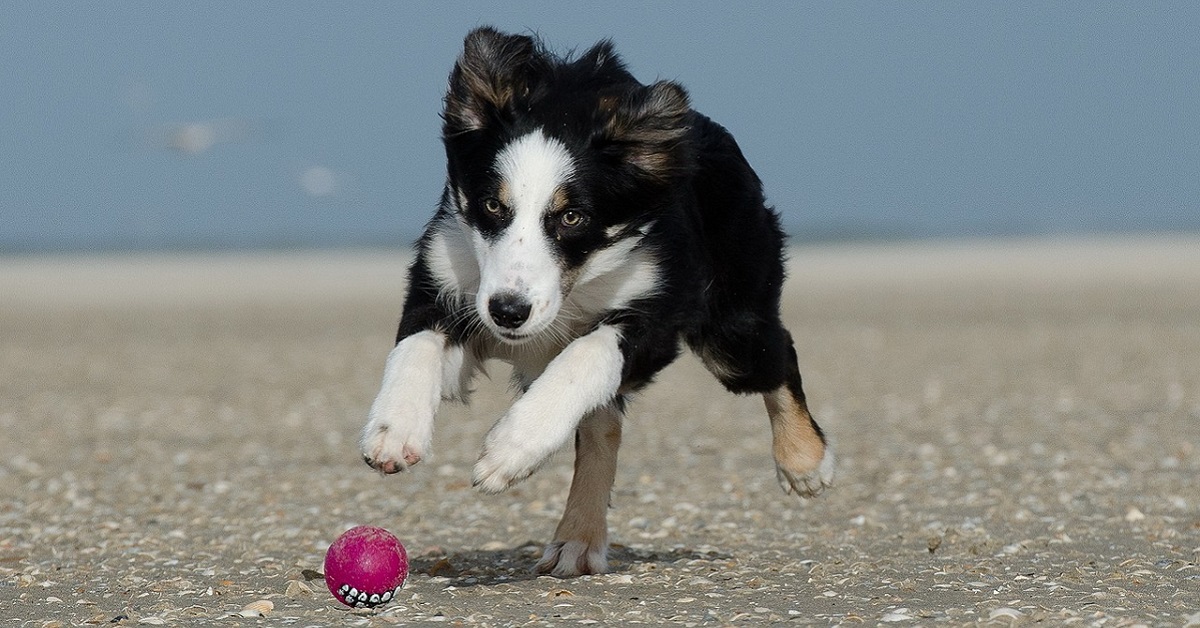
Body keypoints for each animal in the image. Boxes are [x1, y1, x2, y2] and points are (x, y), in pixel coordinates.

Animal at [357, 28, 835, 581]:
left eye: (572, 217)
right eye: (493, 205)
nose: (509, 312)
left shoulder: (657, 312)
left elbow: (584, 357)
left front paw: (509, 451)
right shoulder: (448, 277)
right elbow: (415, 345)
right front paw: (393, 430)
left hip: (731, 327)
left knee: (777, 355)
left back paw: (805, 463)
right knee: (603, 425)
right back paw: (578, 540)